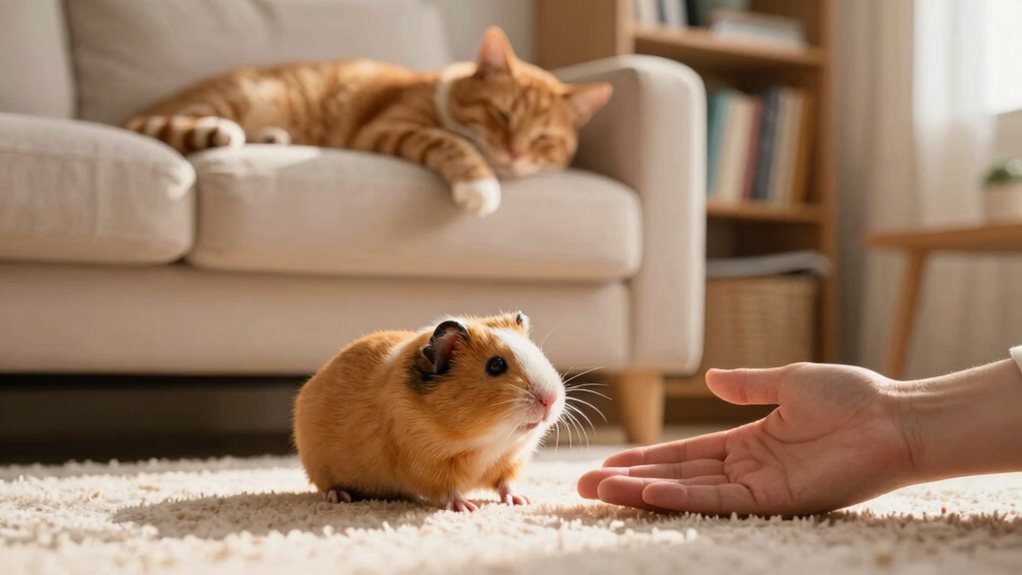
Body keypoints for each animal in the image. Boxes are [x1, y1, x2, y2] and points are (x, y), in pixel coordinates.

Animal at [292, 311, 565, 512]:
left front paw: (523, 501)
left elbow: (506, 485)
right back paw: (340, 497)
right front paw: (467, 508)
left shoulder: (509, 461)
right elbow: (448, 492)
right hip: (320, 468)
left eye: (537, 353)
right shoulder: (428, 466)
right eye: (495, 365)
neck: (487, 442)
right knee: (327, 486)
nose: (550, 399)